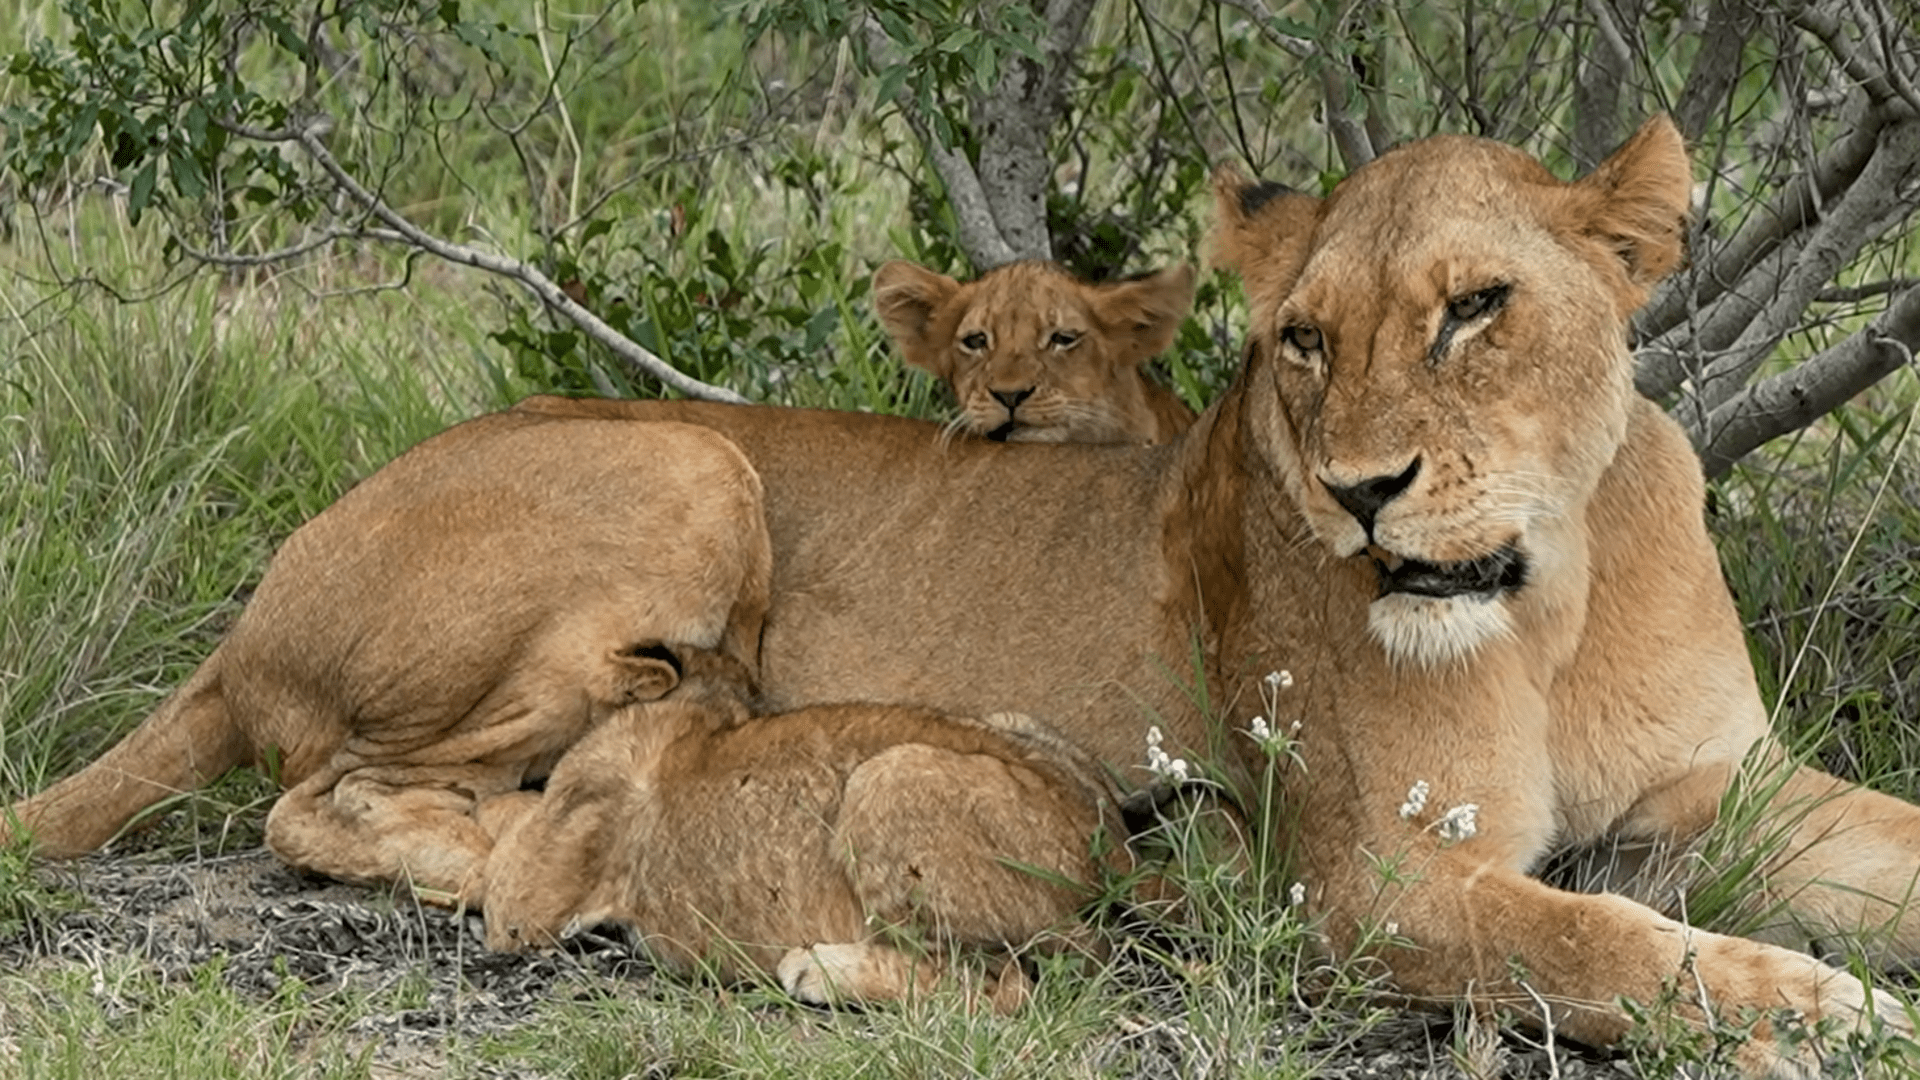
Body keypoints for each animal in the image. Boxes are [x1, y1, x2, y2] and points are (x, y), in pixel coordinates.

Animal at [478, 646, 1130, 1012]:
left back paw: (821, 972)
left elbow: (506, 833)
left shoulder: (524, 907)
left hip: (887, 778)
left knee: (1007, 987)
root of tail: (1115, 856)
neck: (704, 709)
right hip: (1008, 720)